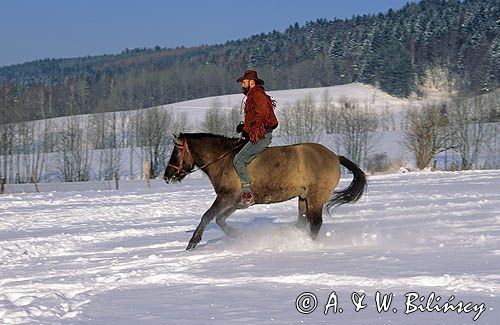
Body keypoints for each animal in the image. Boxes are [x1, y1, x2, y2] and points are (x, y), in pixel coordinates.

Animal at [164, 133, 368, 249]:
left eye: (176, 151)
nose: (167, 176)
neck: (223, 160)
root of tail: (335, 156)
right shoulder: (236, 202)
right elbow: (219, 219)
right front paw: (239, 236)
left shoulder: (226, 196)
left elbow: (207, 216)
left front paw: (193, 242)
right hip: (303, 198)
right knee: (303, 222)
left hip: (315, 197)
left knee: (315, 223)